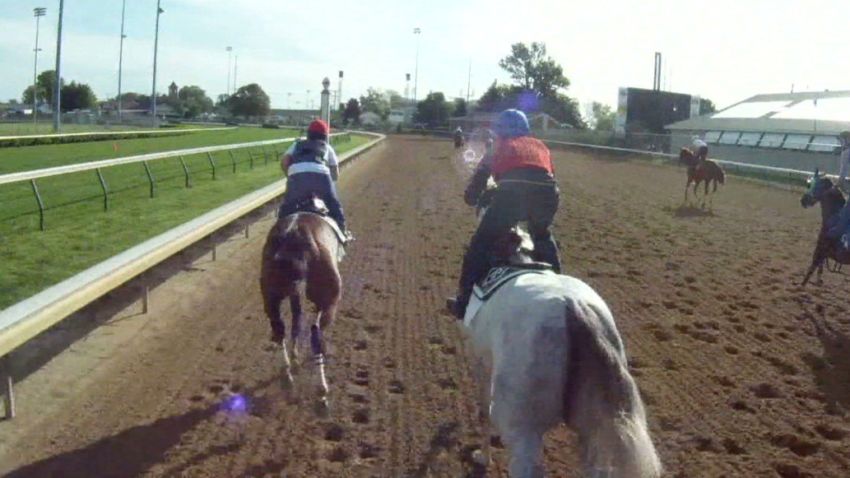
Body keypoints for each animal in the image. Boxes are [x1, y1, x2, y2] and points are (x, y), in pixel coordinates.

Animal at [258, 205, 342, 410]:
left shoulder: (293, 292)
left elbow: (296, 322)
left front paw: (295, 359)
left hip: (271, 294)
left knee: (279, 329)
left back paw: (287, 376)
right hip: (328, 298)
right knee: (315, 332)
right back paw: (322, 391)